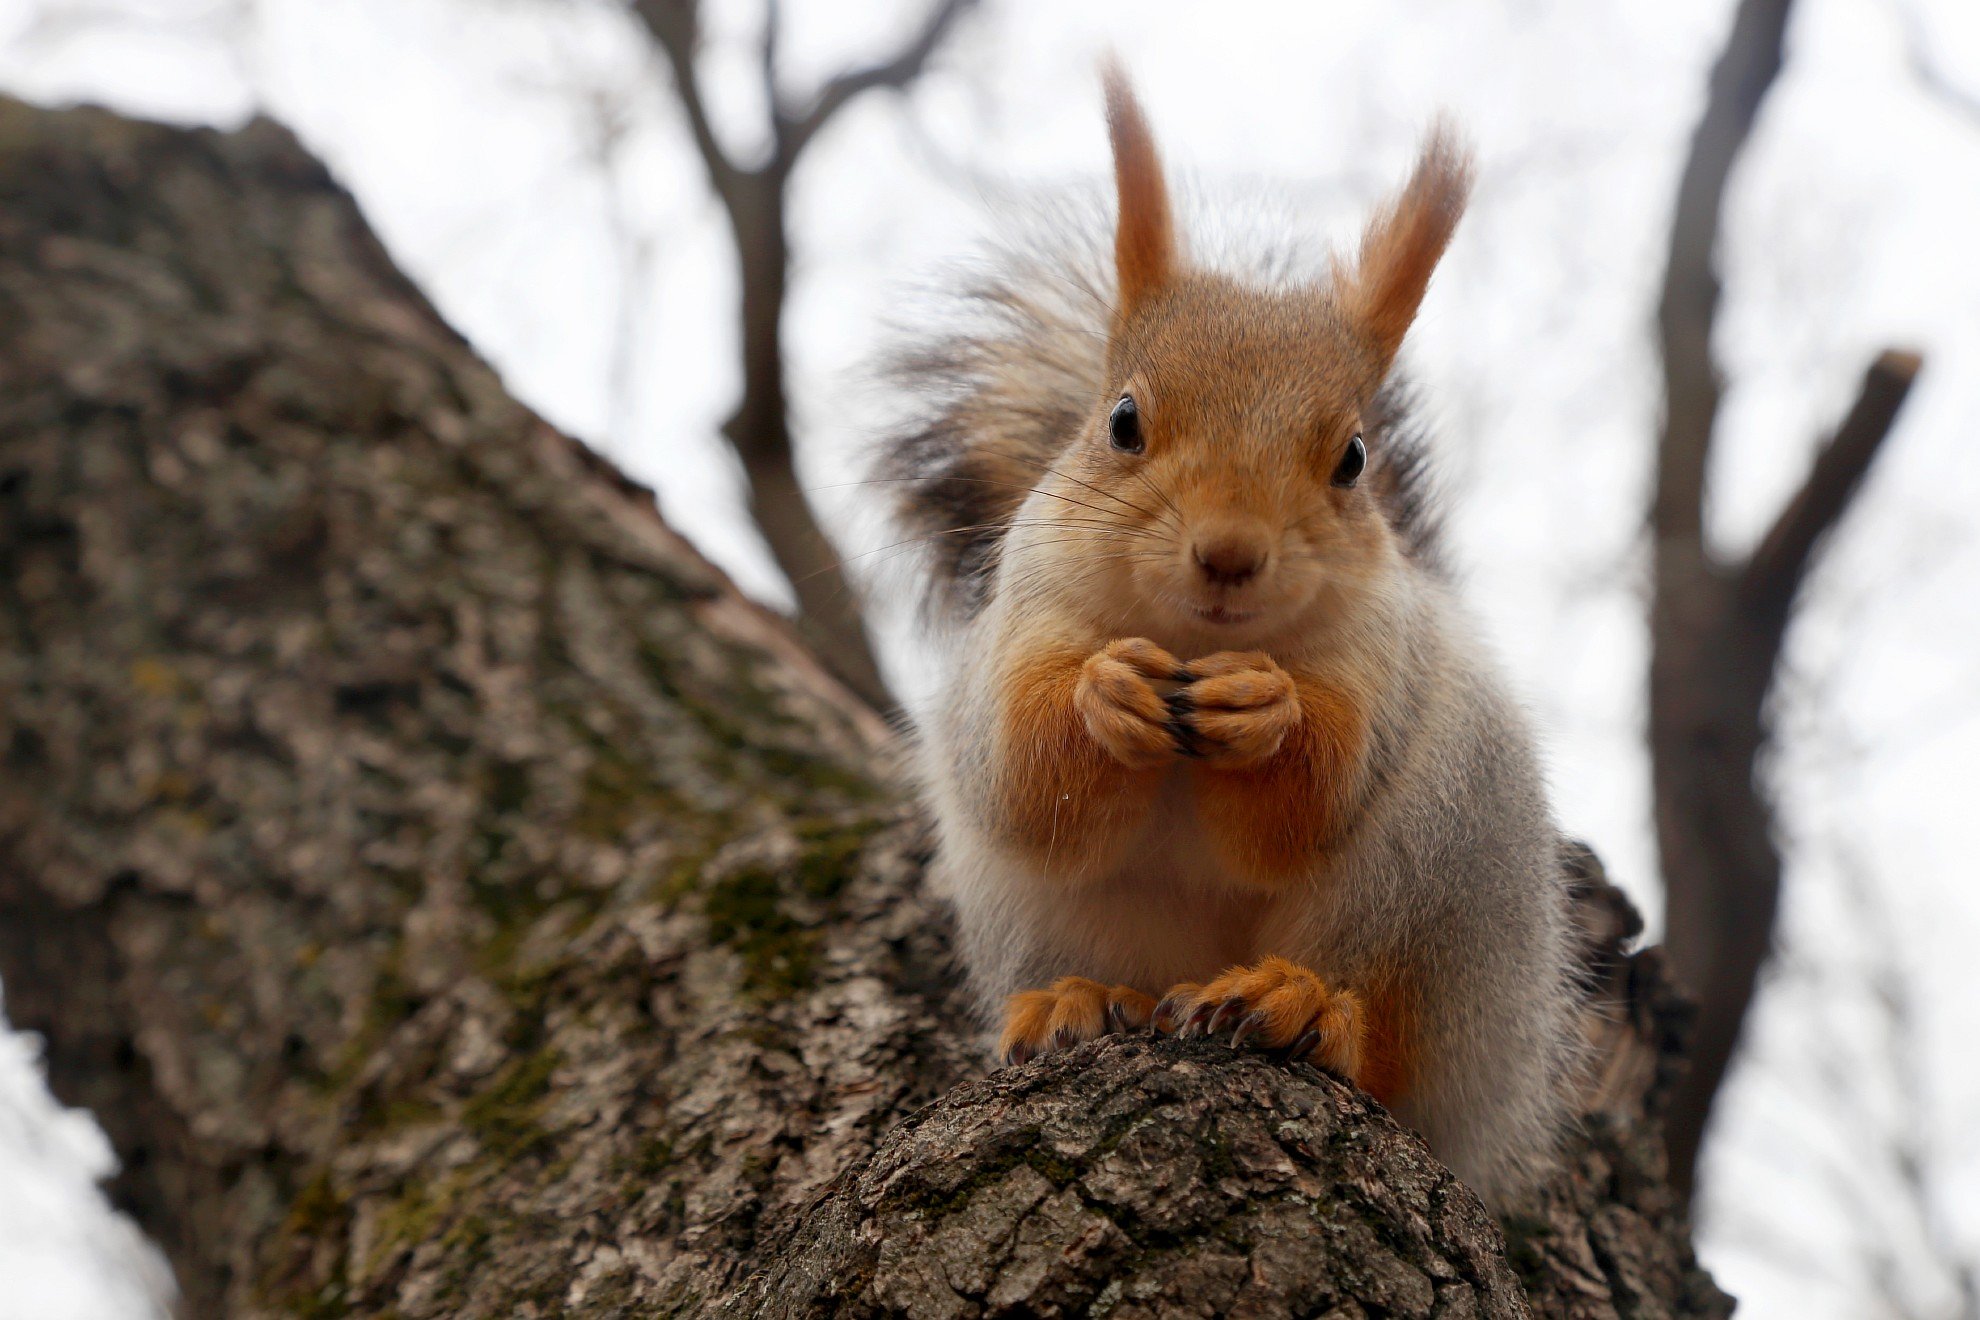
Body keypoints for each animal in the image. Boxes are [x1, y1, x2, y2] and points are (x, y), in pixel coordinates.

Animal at [875, 67, 1584, 1211]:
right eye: (1122, 422)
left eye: (1352, 459)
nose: (1230, 553)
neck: (1185, 637)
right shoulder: (1021, 628)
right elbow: (1025, 775)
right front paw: (1104, 694)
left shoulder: (1379, 662)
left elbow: (1309, 798)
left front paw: (1265, 710)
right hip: (1029, 907)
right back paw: (1076, 1000)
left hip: (1435, 886)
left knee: (1390, 1049)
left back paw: (1308, 1008)